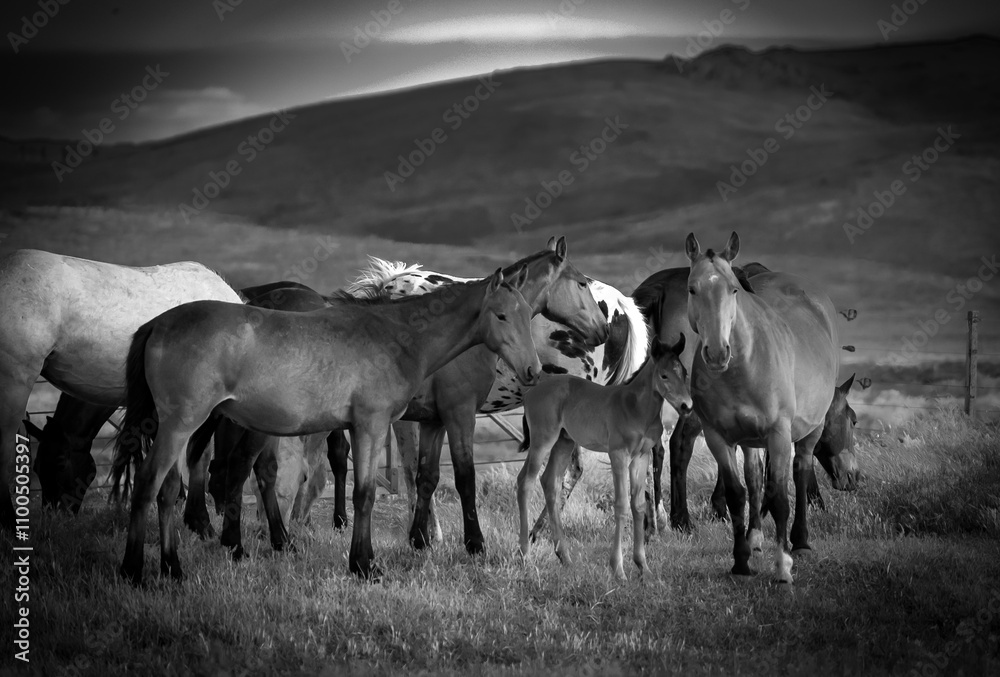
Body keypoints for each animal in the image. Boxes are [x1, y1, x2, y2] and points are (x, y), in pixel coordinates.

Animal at [115, 266, 542, 584]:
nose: (533, 371)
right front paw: (365, 565)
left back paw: (174, 567)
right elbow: (365, 495)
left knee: (170, 489)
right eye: (501, 315)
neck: (396, 336)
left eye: (527, 315)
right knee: (150, 484)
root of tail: (158, 323)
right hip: (180, 425)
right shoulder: (372, 425)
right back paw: (134, 570)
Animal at [333, 238, 644, 554]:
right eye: (579, 284)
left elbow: (415, 471)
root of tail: (621, 306)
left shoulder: (423, 416)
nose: (601, 329)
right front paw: (425, 535)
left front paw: (428, 535)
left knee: (569, 471)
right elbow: (422, 473)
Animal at [516, 336, 691, 580]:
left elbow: (638, 505)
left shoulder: (641, 457)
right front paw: (618, 570)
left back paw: (565, 557)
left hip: (564, 442)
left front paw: (643, 567)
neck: (636, 408)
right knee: (526, 482)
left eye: (684, 372)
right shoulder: (618, 454)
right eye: (664, 375)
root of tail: (531, 393)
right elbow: (621, 504)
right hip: (542, 440)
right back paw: (525, 557)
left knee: (549, 482)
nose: (687, 406)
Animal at [685, 232, 840, 584]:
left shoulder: (778, 434)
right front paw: (741, 562)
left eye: (733, 289)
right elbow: (736, 494)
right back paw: (755, 539)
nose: (717, 353)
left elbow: (780, 497)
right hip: (749, 440)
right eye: (692, 289)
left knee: (801, 472)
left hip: (810, 430)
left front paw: (783, 568)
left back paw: (801, 543)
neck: (745, 366)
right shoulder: (717, 437)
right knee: (755, 479)